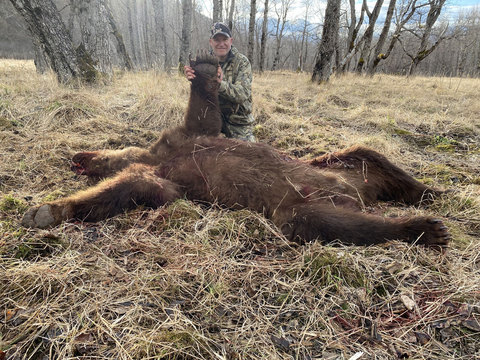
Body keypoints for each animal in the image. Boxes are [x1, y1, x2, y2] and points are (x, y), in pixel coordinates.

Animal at [21, 52, 450, 246]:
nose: (78, 157)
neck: (156, 155)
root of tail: (356, 194)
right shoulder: (165, 178)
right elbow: (127, 190)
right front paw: (49, 209)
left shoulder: (187, 135)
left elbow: (204, 113)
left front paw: (202, 66)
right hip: (299, 208)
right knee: (335, 222)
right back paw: (423, 226)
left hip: (341, 163)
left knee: (371, 154)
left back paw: (431, 195)